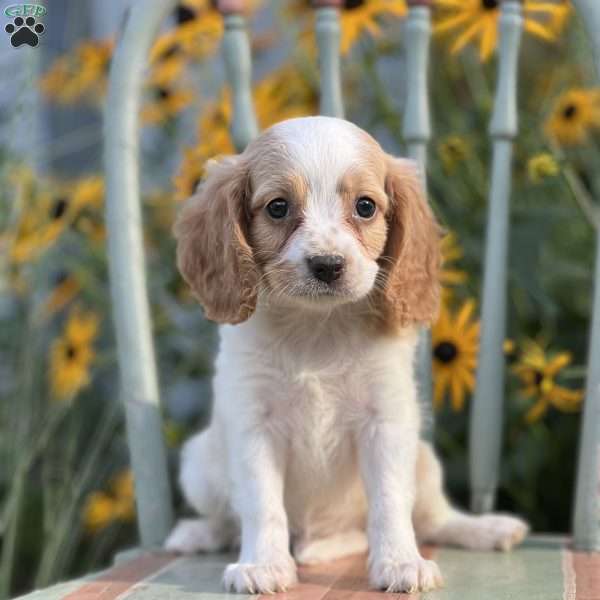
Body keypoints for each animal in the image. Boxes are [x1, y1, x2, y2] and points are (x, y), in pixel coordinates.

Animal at [164, 117, 524, 596]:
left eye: (365, 206)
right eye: (278, 208)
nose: (328, 265)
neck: (318, 326)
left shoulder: (386, 423)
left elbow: (390, 501)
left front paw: (400, 563)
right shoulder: (252, 425)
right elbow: (261, 504)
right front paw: (263, 565)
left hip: (425, 463)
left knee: (434, 519)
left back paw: (487, 528)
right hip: (200, 465)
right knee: (228, 518)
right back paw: (199, 533)